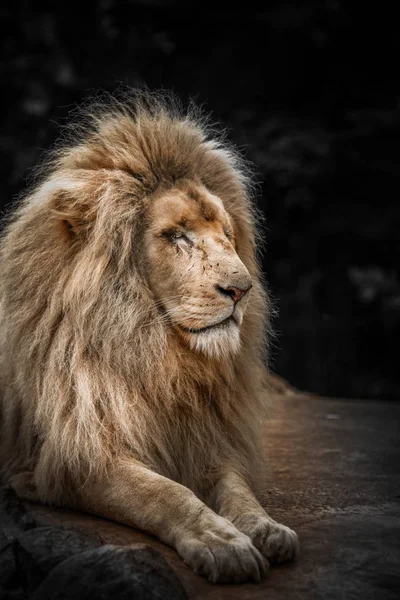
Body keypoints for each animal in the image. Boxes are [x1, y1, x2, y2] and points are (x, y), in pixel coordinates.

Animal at [0, 91, 296, 584]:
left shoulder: (205, 437)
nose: (242, 290)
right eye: (177, 236)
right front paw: (223, 544)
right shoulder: (70, 459)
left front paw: (265, 528)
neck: (154, 357)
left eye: (228, 235)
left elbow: (237, 489)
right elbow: (166, 494)